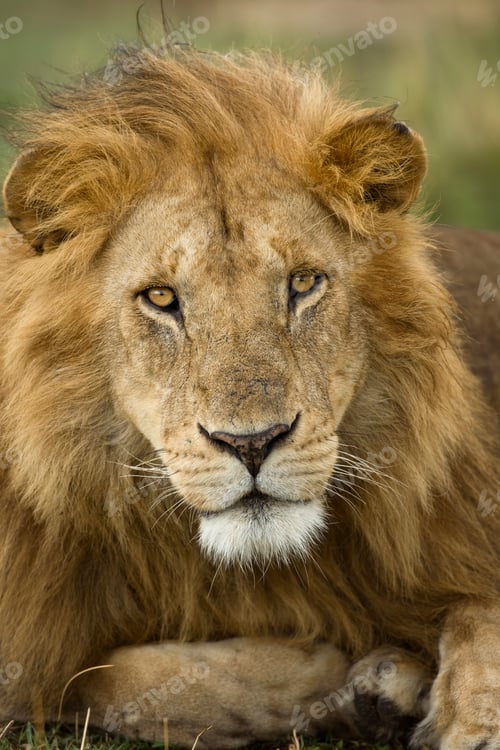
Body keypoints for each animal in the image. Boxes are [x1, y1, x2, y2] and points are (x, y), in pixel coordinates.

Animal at [1, 45, 500, 750]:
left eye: (304, 283)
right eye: (161, 297)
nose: (252, 443)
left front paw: (462, 712)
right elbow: (118, 678)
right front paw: (338, 673)